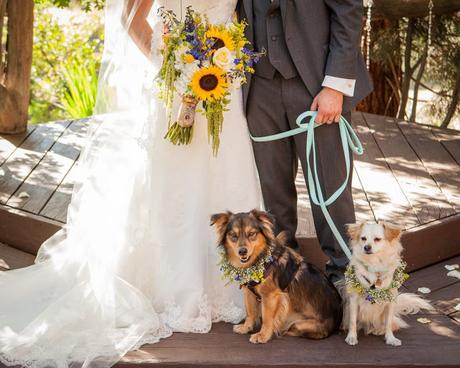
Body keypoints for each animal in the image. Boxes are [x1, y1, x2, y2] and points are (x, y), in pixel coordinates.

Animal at [210, 210, 344, 344]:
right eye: (233, 235)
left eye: (252, 234)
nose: (242, 251)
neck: (260, 259)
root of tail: (336, 324)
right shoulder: (249, 292)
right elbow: (250, 311)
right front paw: (246, 327)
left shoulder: (270, 296)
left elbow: (267, 318)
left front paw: (263, 335)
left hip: (300, 324)